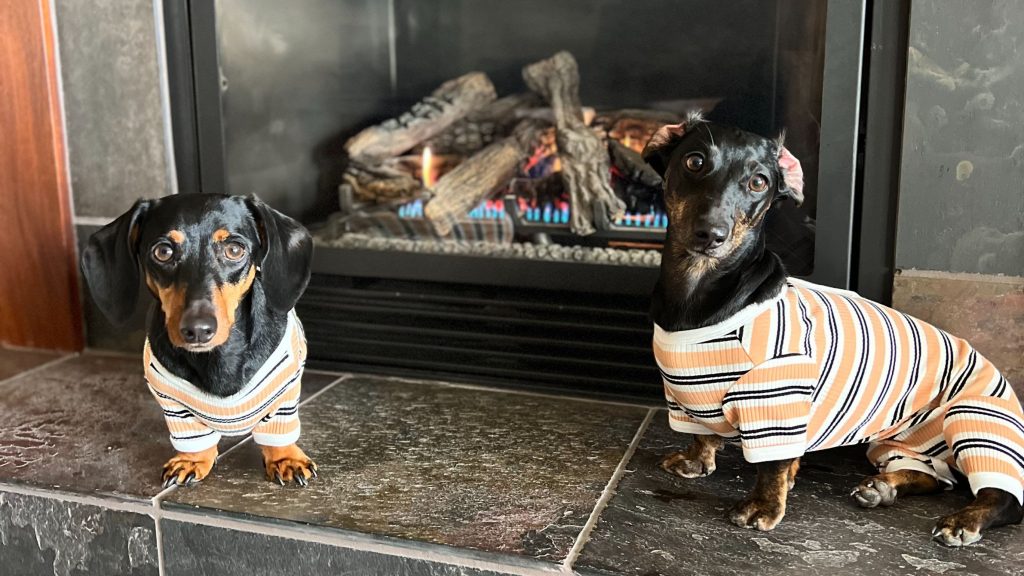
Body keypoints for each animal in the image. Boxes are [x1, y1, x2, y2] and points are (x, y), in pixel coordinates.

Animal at [81, 192, 315, 483]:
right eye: (163, 251)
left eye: (234, 250)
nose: (198, 329)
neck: (218, 359)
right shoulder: (173, 403)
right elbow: (193, 437)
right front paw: (191, 460)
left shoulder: (284, 392)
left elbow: (277, 431)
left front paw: (285, 458)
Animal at [643, 112, 1019, 541]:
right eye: (695, 161)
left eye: (758, 182)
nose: (711, 233)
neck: (699, 292)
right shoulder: (682, 396)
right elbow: (702, 433)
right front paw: (695, 459)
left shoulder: (777, 397)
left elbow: (773, 465)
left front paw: (764, 505)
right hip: (896, 442)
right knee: (934, 478)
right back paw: (884, 488)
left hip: (976, 420)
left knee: (1003, 497)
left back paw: (965, 520)